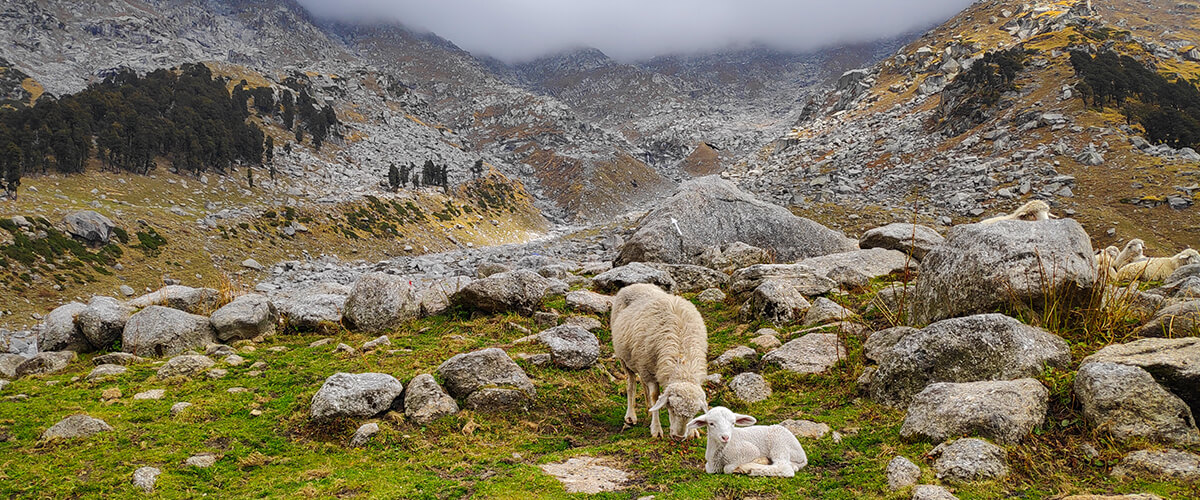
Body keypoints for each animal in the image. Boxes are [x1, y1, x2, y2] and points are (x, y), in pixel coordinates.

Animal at [614, 282, 705, 438]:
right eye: (672, 408)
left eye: (694, 413)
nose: (678, 437)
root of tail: (636, 284)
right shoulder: (648, 371)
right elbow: (655, 396)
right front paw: (656, 429)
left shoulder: (647, 367)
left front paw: (693, 431)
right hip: (626, 359)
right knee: (631, 384)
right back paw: (631, 416)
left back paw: (648, 409)